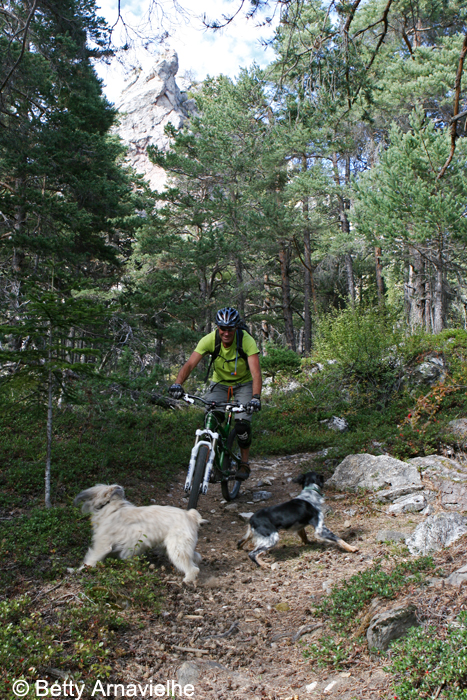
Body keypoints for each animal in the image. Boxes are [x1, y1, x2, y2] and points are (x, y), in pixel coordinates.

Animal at [74, 484, 203, 584]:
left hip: (177, 549)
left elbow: (90, 561)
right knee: (195, 557)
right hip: (181, 547)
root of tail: (191, 515)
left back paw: (187, 580)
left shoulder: (102, 545)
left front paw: (79, 570)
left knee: (193, 569)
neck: (111, 508)